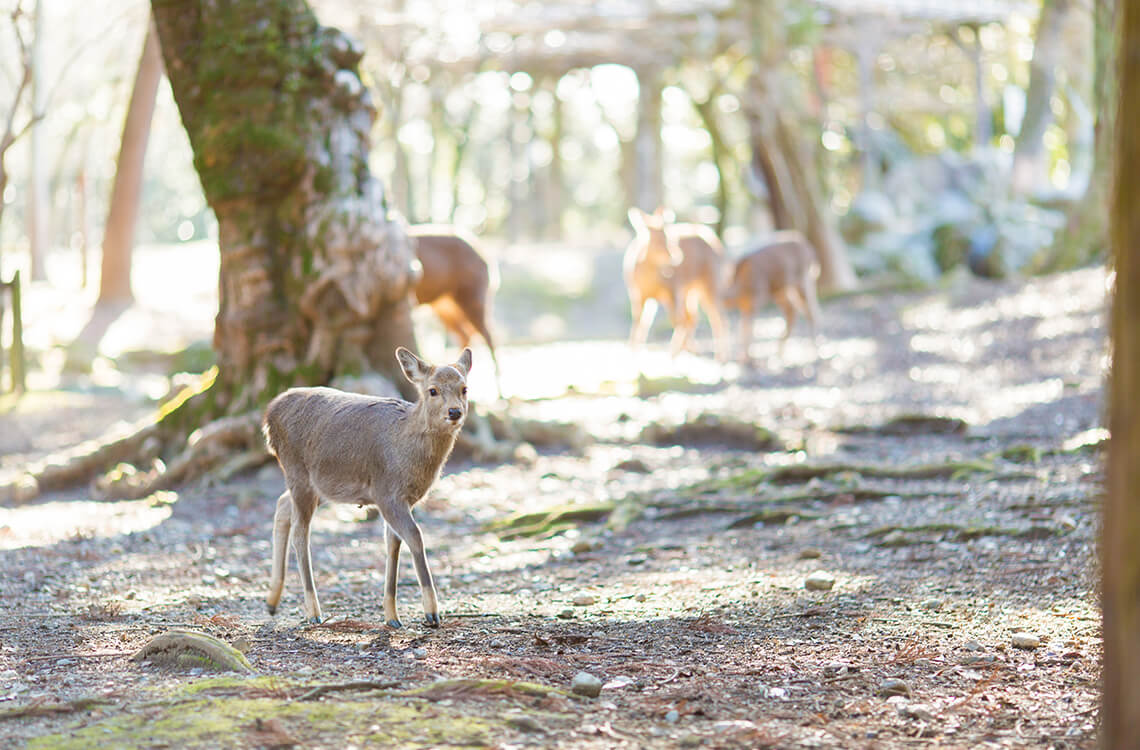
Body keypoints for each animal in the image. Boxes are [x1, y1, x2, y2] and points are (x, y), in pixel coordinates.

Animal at [262, 344, 471, 624]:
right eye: (433, 390)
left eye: (464, 388)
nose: (455, 412)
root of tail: (268, 416)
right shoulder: (387, 493)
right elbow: (415, 536)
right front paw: (431, 613)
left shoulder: (403, 499)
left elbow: (393, 544)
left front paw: (392, 616)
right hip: (297, 471)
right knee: (300, 533)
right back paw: (313, 612)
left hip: (320, 485)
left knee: (282, 503)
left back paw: (272, 602)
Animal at [408, 223, 501, 394]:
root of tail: (487, 259)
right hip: (445, 305)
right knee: (465, 334)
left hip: (473, 295)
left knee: (490, 336)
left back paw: (500, 393)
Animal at [624, 207, 729, 360]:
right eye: (659, 241)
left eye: (671, 239)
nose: (676, 257)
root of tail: (714, 239)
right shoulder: (638, 295)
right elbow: (641, 322)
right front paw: (633, 351)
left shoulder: (672, 292)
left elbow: (677, 321)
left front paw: (673, 352)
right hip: (691, 291)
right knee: (693, 317)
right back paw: (692, 349)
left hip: (709, 285)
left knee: (718, 318)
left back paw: (720, 356)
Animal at [725, 230, 825, 364]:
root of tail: (810, 250)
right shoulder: (746, 305)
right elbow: (743, 327)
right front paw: (743, 357)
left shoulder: (756, 299)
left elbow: (748, 328)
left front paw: (748, 359)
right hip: (781, 291)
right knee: (793, 311)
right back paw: (779, 353)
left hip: (804, 279)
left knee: (811, 311)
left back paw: (815, 348)